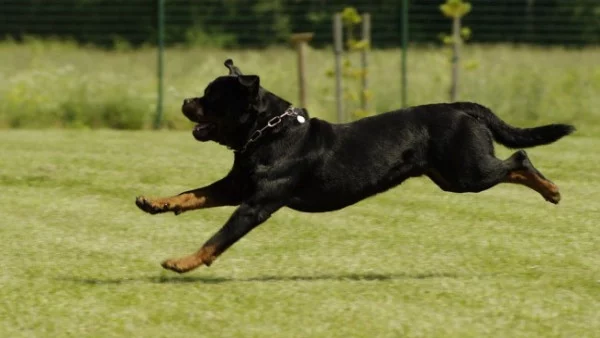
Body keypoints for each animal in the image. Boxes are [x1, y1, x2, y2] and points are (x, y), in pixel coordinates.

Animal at [135, 59, 572, 274]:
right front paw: (155, 202)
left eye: (212, 97)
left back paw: (551, 190)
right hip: (451, 177)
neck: (266, 133)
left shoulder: (255, 204)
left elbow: (217, 238)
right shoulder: (235, 187)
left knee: (518, 160)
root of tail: (460, 106)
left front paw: (182, 263)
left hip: (467, 173)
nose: (185, 102)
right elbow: (192, 194)